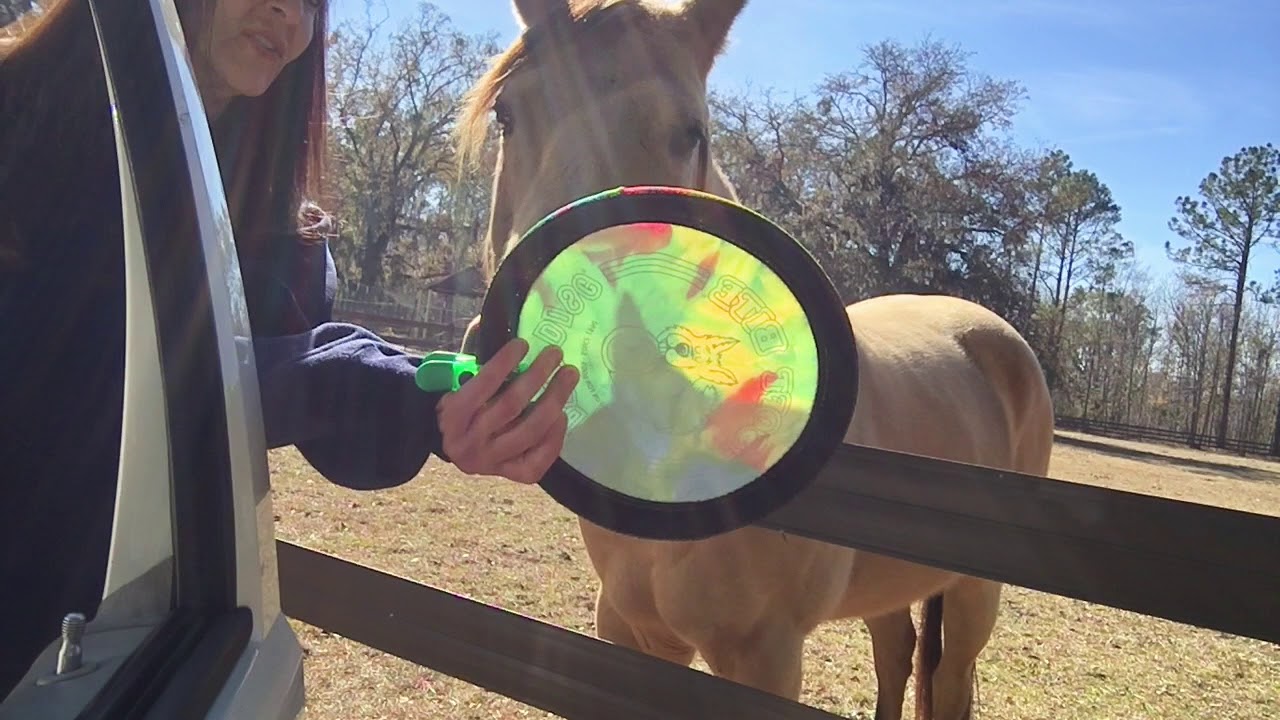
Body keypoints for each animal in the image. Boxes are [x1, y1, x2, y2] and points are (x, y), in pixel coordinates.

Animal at [454, 2, 1055, 719]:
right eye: (507, 114)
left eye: (690, 132)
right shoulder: (628, 630)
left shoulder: (764, 656)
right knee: (896, 651)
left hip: (971, 594)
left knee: (949, 676)